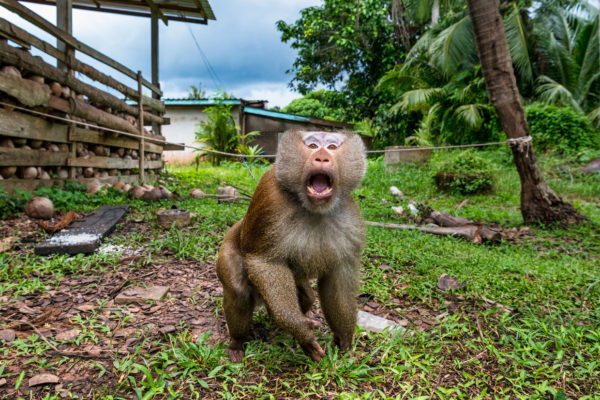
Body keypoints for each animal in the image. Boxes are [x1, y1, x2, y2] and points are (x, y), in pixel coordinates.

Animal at [216, 130, 366, 362]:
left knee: (306, 296)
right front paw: (302, 333)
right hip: (227, 250)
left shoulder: (349, 220)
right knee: (239, 290)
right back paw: (237, 342)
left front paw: (343, 338)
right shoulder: (271, 200)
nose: (322, 157)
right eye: (312, 145)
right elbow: (265, 263)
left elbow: (338, 279)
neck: (311, 208)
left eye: (332, 147)